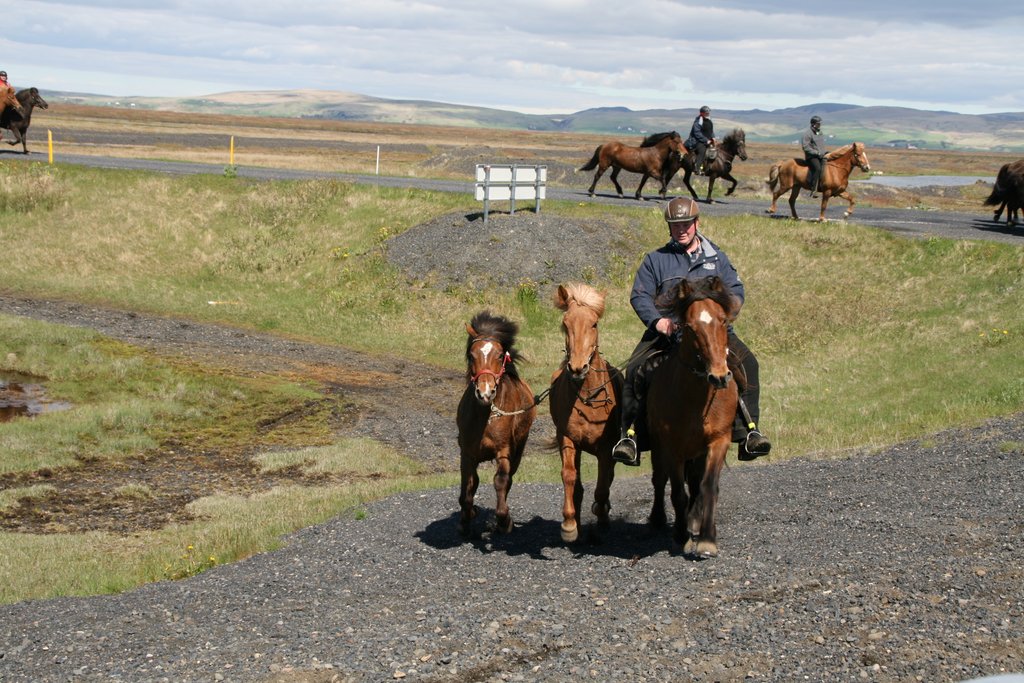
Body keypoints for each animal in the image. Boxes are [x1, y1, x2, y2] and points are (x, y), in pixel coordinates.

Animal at [456, 311, 537, 536]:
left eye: (500, 355)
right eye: (471, 355)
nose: (485, 392)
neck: (486, 417)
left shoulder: (504, 452)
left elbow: (501, 481)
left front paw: (504, 520)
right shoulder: (467, 454)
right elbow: (468, 487)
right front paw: (466, 519)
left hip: (518, 450)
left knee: (508, 480)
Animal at [547, 283, 623, 543]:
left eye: (594, 324)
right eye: (565, 323)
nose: (578, 367)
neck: (589, 396)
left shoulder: (606, 448)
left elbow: (602, 486)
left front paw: (601, 518)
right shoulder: (568, 439)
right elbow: (569, 477)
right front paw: (569, 525)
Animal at [645, 276, 740, 558]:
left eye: (723, 320)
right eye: (690, 326)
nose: (719, 376)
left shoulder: (719, 440)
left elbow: (708, 486)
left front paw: (707, 539)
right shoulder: (671, 447)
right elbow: (677, 493)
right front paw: (680, 534)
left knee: (696, 483)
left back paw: (695, 520)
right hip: (658, 446)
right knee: (659, 480)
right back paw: (660, 519)